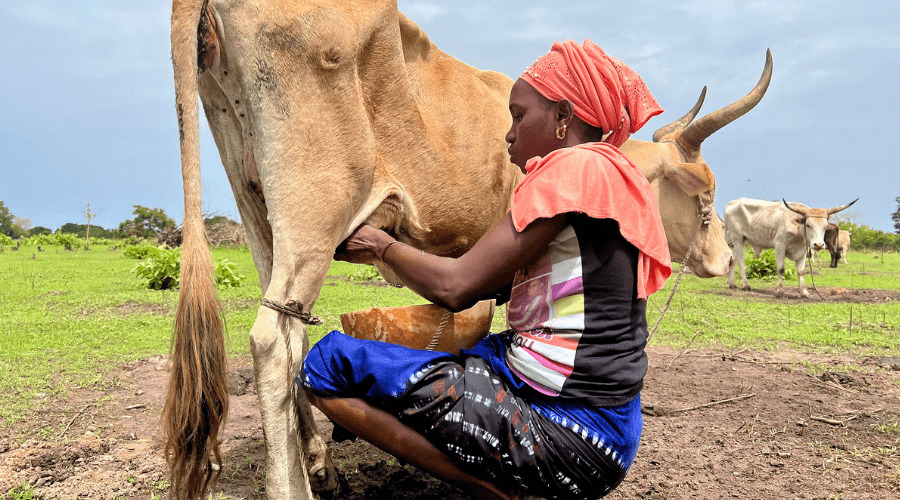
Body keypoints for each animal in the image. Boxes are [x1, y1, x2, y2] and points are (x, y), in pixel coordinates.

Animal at [724, 196, 856, 296]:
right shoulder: (779, 246)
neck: (797, 229)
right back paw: (746, 285)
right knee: (741, 262)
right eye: (808, 225)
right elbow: (781, 269)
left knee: (733, 259)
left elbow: (801, 271)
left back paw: (731, 284)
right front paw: (779, 290)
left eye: (825, 226)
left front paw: (804, 292)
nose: (818, 244)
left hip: (738, 240)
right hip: (738, 238)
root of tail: (732, 203)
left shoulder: (803, 250)